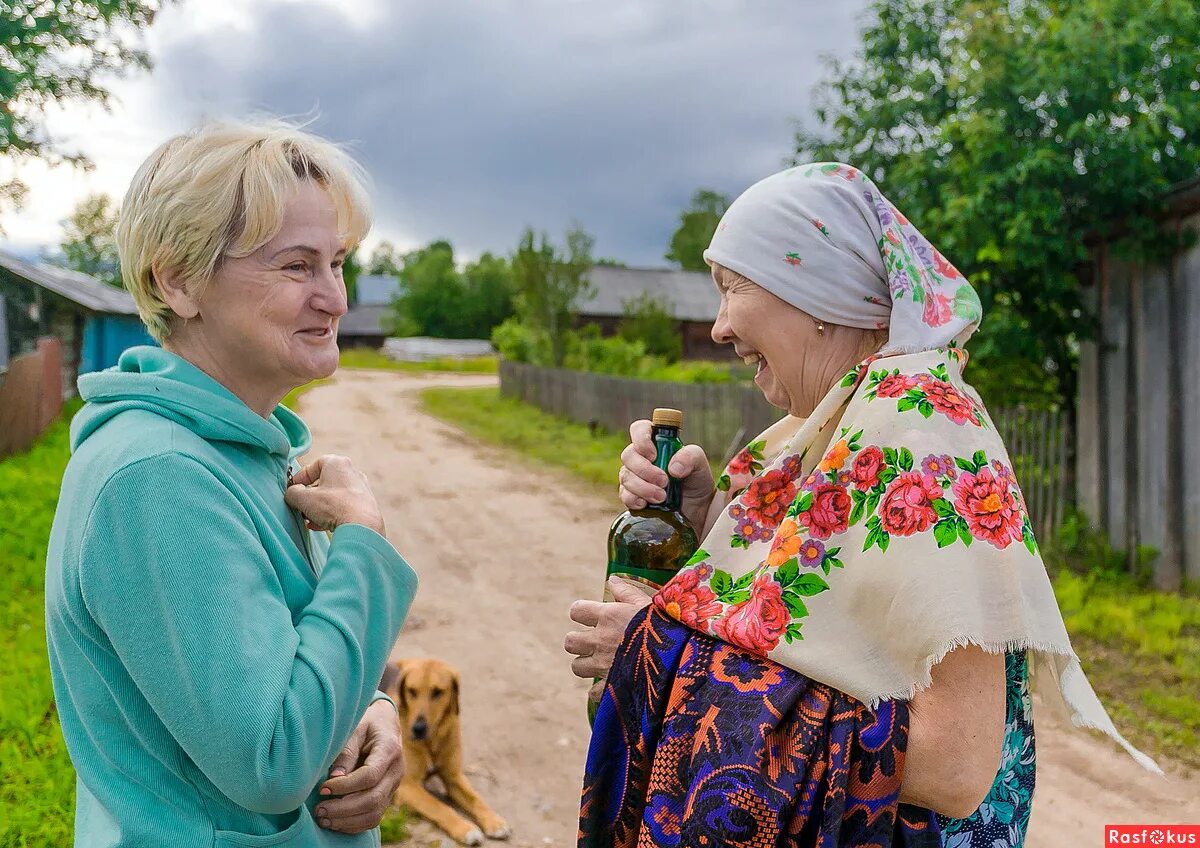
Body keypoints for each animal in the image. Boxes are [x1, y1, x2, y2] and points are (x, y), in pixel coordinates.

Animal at [386, 662, 508, 844]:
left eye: (437, 692)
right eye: (411, 691)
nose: (418, 729)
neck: (432, 740)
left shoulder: (454, 777)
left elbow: (476, 798)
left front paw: (494, 821)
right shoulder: (407, 786)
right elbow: (437, 806)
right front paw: (465, 828)